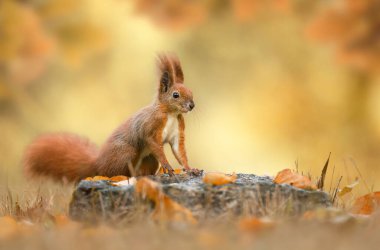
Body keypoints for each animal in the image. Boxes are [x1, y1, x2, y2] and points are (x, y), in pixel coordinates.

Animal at [23, 53, 199, 182]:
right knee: (113, 173)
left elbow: (179, 152)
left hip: (149, 159)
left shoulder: (177, 132)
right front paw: (168, 167)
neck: (171, 113)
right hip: (125, 152)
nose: (192, 105)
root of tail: (98, 164)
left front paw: (191, 169)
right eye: (175, 95)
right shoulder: (151, 126)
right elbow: (154, 144)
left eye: (191, 91)